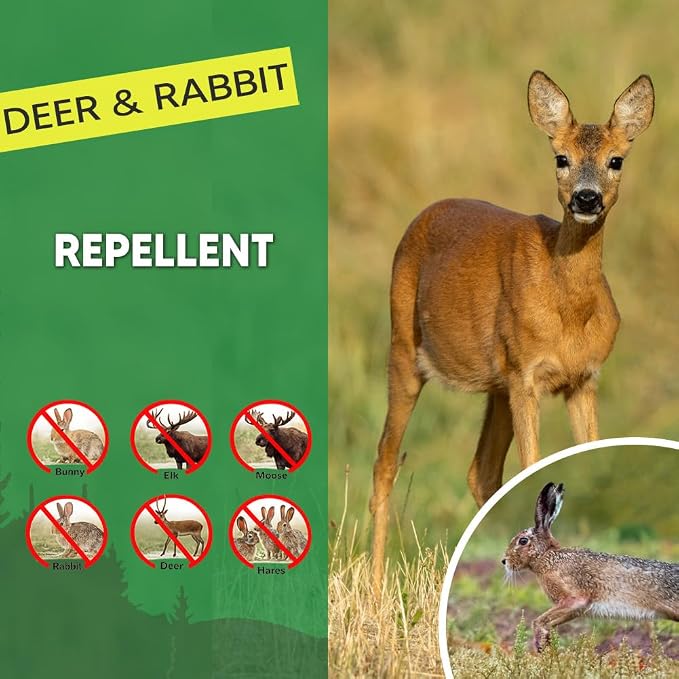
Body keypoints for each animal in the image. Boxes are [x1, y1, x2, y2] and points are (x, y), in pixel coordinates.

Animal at [370, 71, 655, 592]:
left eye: (616, 160)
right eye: (560, 157)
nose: (587, 198)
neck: (568, 312)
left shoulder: (583, 379)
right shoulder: (527, 375)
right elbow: (531, 463)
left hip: (495, 383)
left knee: (480, 471)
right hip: (404, 348)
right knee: (385, 461)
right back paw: (378, 593)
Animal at [502, 482, 679, 652]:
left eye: (523, 541)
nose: (504, 561)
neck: (546, 556)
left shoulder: (574, 598)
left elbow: (539, 620)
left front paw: (540, 643)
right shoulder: (574, 609)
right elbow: (551, 622)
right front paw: (547, 643)